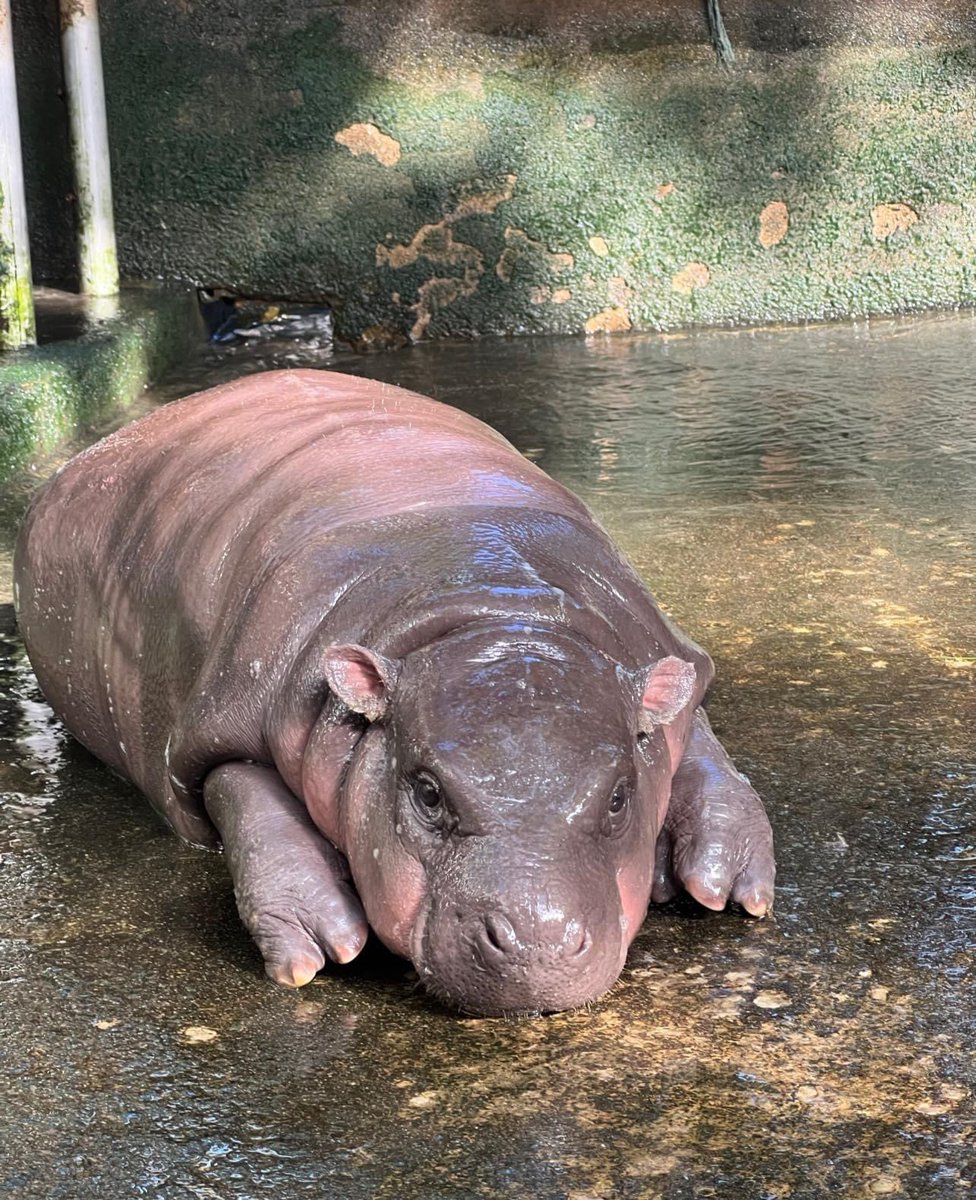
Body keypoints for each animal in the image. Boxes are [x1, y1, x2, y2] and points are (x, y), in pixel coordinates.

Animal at [13, 370, 774, 1016]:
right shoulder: (222, 718)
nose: (537, 942)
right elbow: (246, 797)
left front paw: (726, 882)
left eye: (618, 797)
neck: (490, 605)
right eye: (428, 793)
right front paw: (319, 941)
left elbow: (699, 741)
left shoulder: (661, 667)